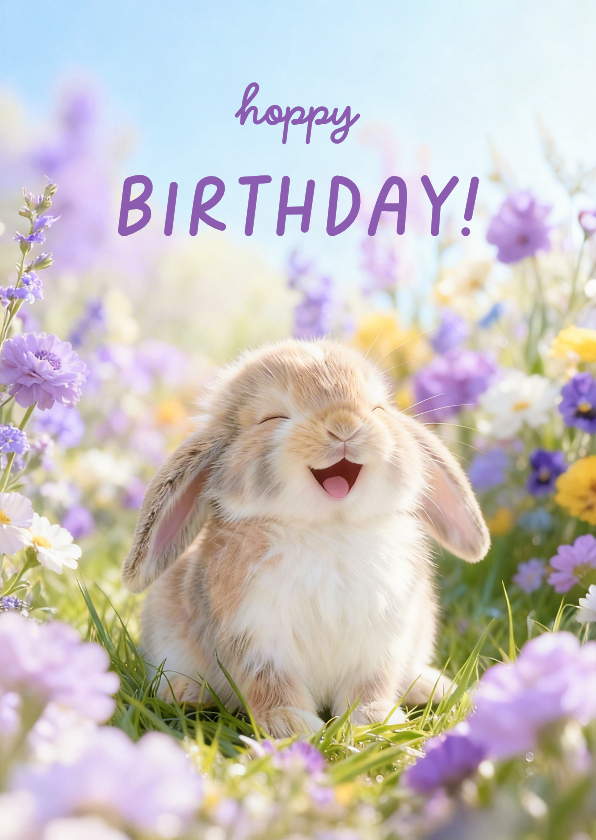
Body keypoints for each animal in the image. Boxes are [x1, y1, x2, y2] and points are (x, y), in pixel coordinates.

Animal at [122, 338, 490, 737]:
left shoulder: (381, 644)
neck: (329, 529)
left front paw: (375, 721)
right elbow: (272, 687)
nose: (344, 425)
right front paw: (291, 726)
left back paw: (434, 688)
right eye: (272, 418)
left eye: (376, 408)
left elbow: (370, 687)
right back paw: (185, 693)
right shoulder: (258, 641)